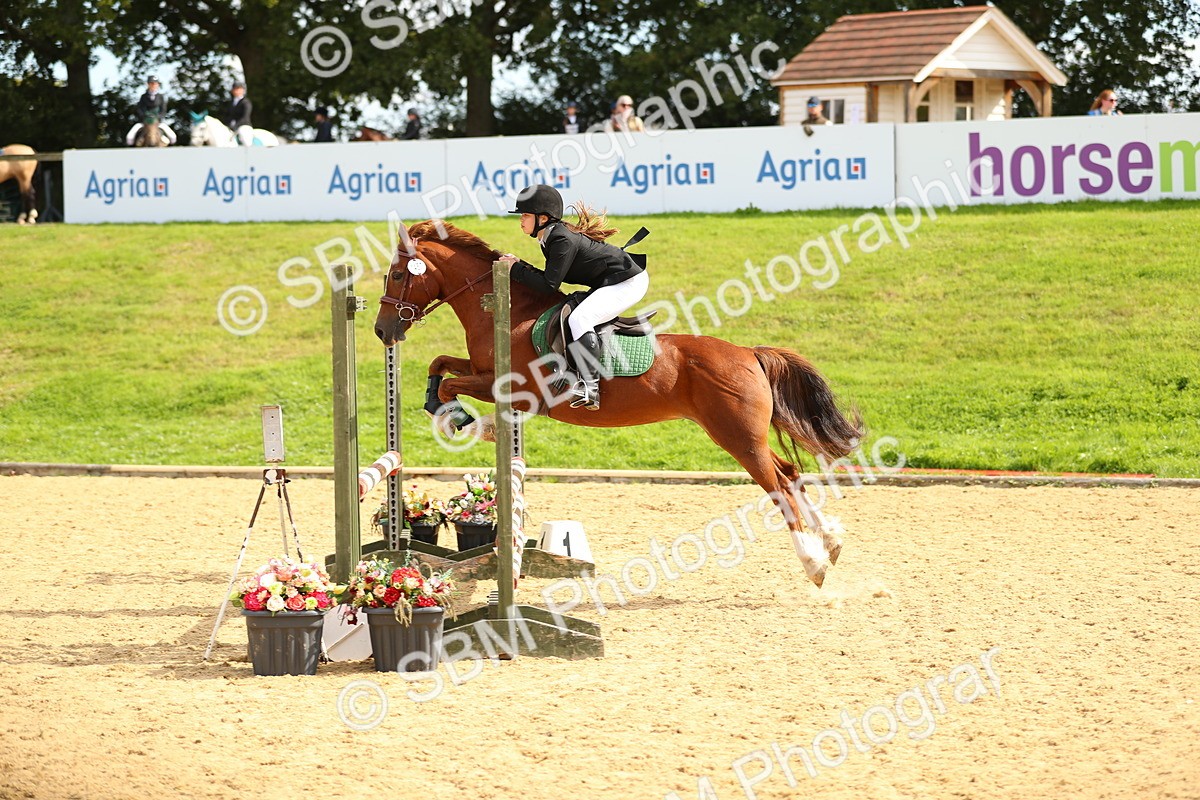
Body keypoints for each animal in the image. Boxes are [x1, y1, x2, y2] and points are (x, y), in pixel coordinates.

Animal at [374, 221, 864, 587]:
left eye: (397, 275)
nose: (382, 331)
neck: (507, 312)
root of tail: (748, 353)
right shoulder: (483, 372)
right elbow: (441, 366)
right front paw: (443, 407)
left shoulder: (509, 386)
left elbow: (452, 386)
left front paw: (463, 422)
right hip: (744, 435)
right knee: (791, 472)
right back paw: (832, 541)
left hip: (737, 438)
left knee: (778, 485)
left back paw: (814, 564)